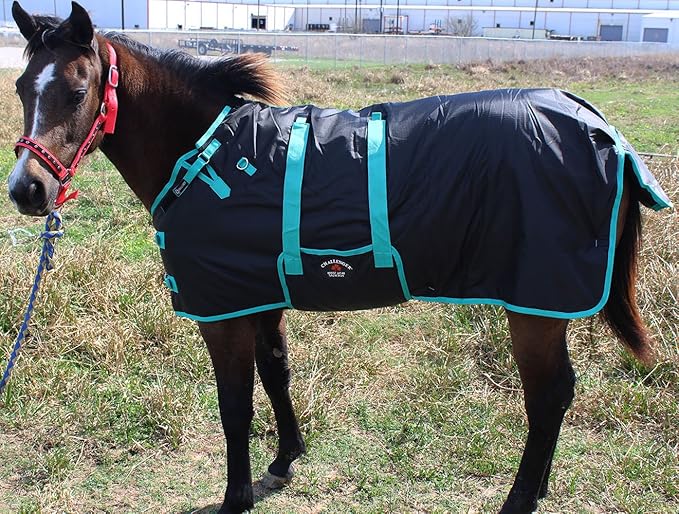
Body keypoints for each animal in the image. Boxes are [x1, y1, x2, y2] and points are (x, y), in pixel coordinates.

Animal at [7, 2, 672, 513]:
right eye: (20, 87)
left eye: (77, 90)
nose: (26, 190)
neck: (207, 154)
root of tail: (600, 127)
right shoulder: (259, 296)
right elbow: (275, 374)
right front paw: (284, 460)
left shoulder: (223, 314)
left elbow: (234, 406)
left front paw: (235, 498)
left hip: (534, 306)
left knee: (549, 395)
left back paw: (520, 498)